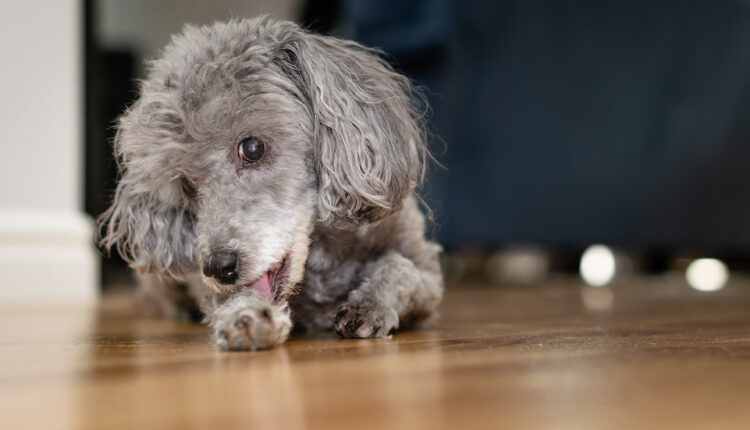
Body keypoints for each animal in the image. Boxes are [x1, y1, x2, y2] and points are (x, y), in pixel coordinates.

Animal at [97, 16, 444, 352]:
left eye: (252, 148)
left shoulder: (428, 277)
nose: (217, 267)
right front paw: (247, 316)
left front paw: (370, 304)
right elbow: (234, 300)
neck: (321, 258)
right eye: (185, 185)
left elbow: (401, 269)